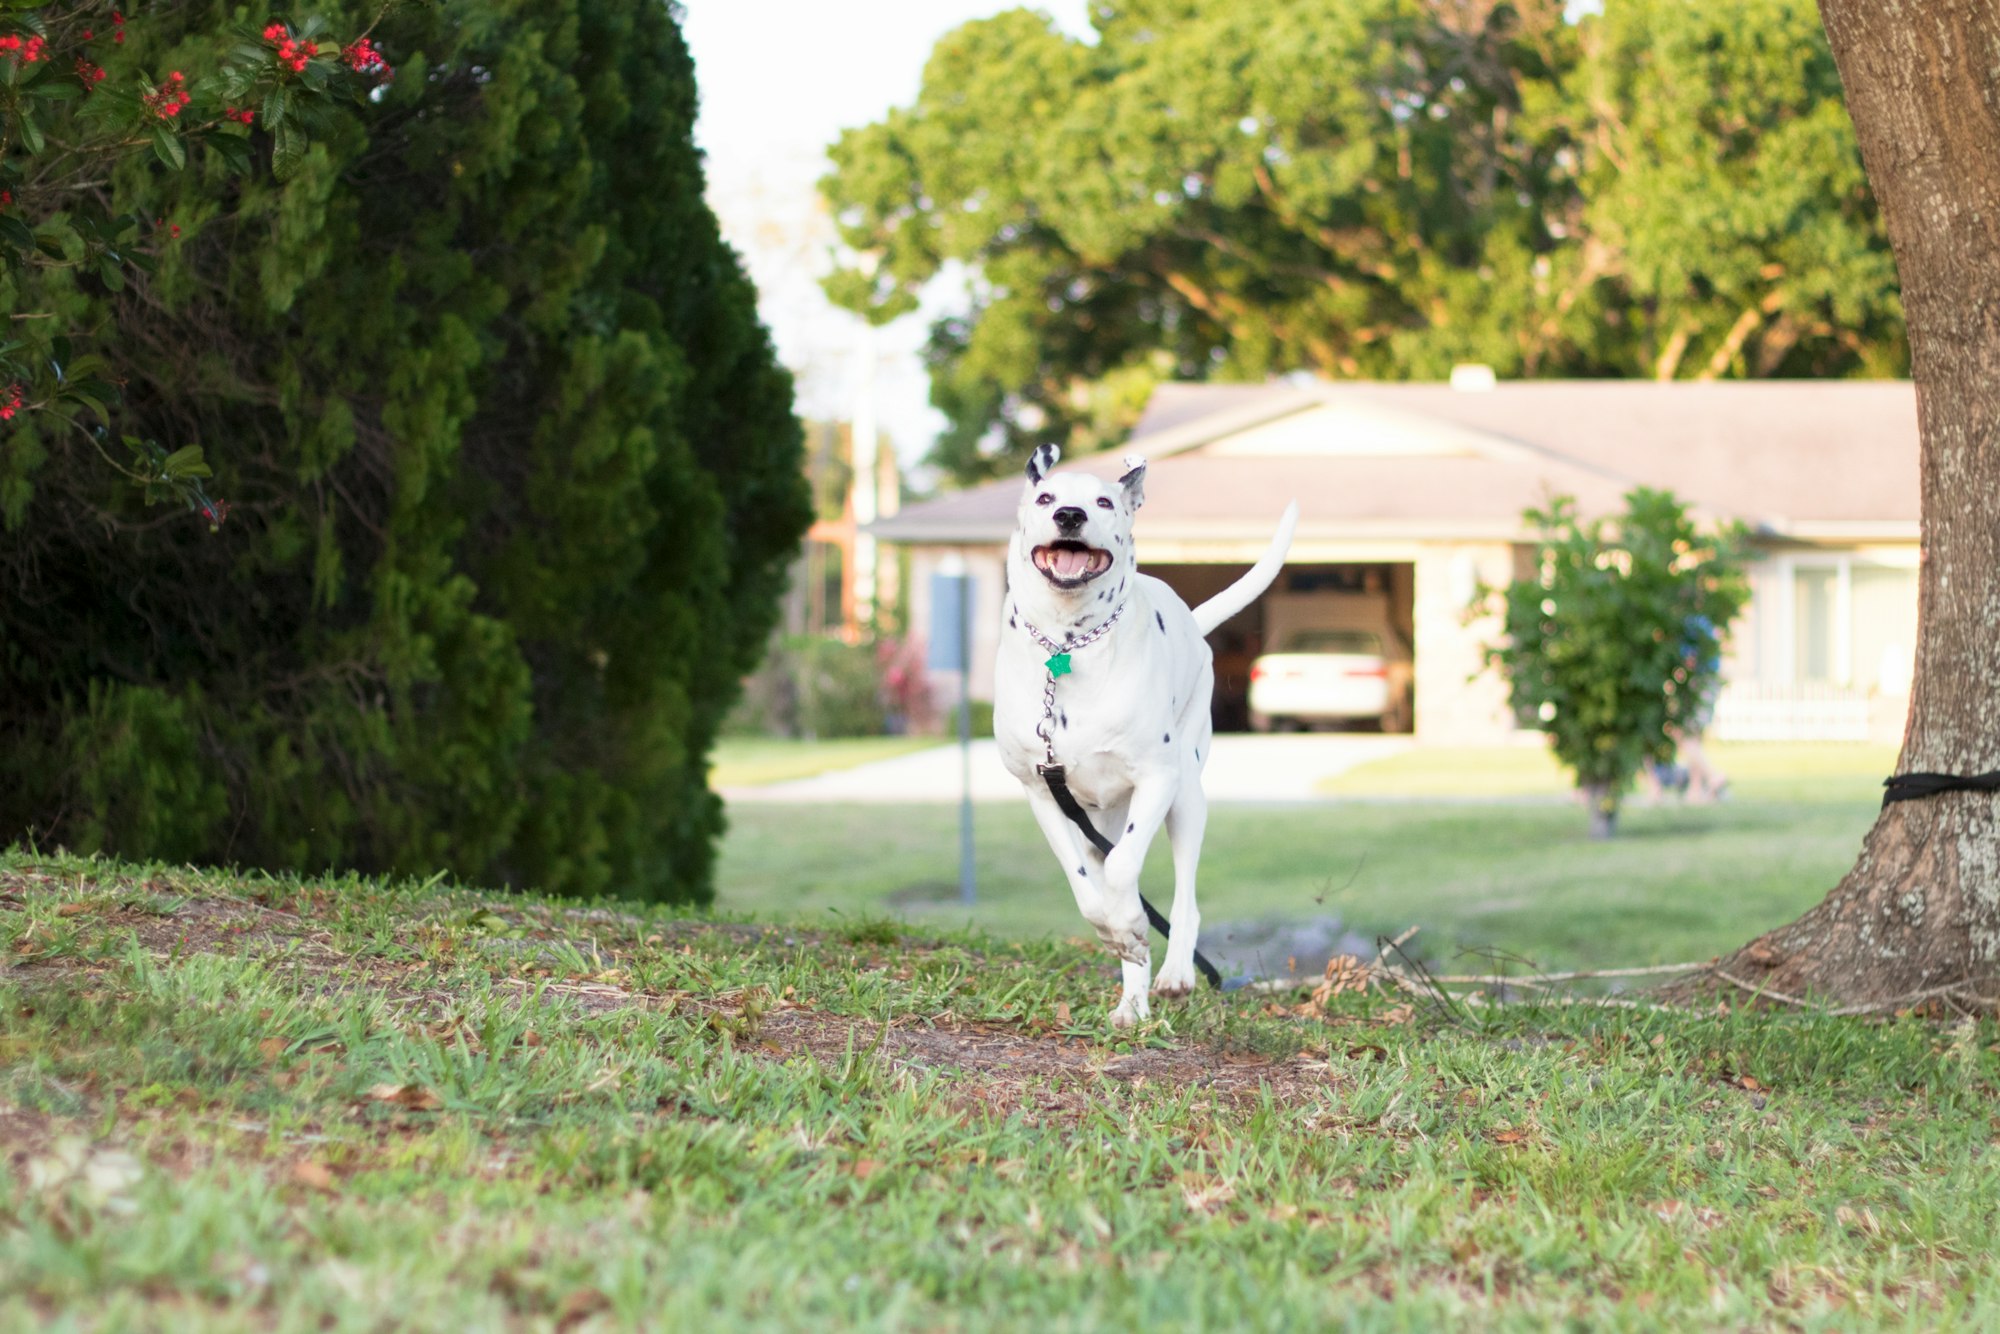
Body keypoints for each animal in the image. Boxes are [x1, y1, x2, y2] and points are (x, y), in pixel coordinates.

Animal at [996, 444, 1304, 1032]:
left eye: (1103, 502)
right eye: (1046, 497)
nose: (1069, 515)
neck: (1069, 646)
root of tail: (1193, 621)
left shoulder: (1157, 780)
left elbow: (1124, 869)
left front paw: (1136, 929)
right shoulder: (1041, 792)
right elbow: (1089, 890)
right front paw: (1121, 932)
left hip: (1186, 796)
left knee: (1183, 899)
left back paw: (1175, 972)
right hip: (1099, 817)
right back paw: (1132, 999)